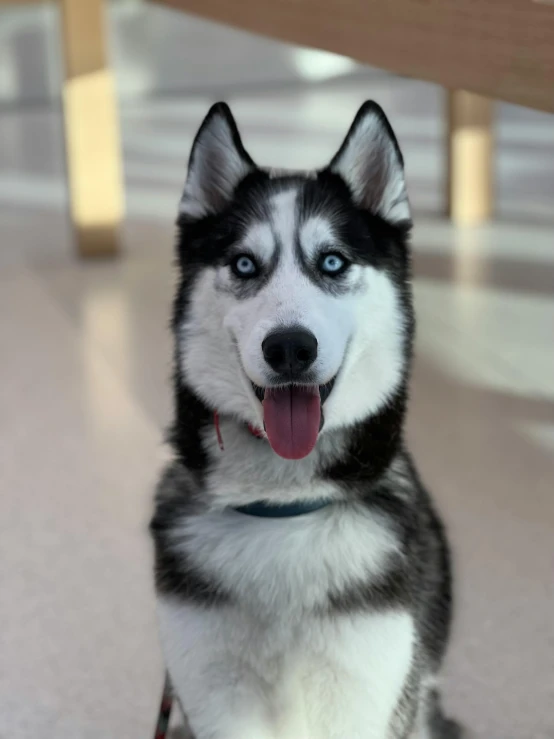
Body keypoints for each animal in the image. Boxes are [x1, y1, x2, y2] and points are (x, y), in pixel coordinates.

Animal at [151, 99, 458, 739]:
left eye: (333, 261)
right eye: (245, 264)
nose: (290, 348)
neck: (283, 504)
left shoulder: (363, 693)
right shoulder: (213, 692)